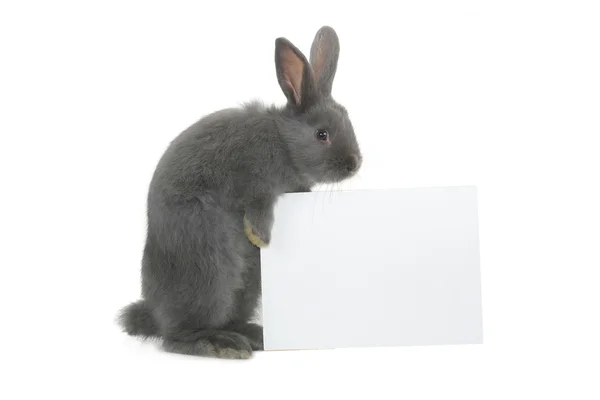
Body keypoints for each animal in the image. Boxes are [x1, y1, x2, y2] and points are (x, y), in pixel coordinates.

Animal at [116, 26, 360, 360]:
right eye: (322, 134)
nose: (355, 164)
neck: (283, 140)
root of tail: (154, 312)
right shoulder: (252, 179)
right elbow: (257, 205)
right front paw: (260, 235)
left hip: (247, 286)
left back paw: (253, 335)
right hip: (209, 271)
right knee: (177, 336)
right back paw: (221, 344)